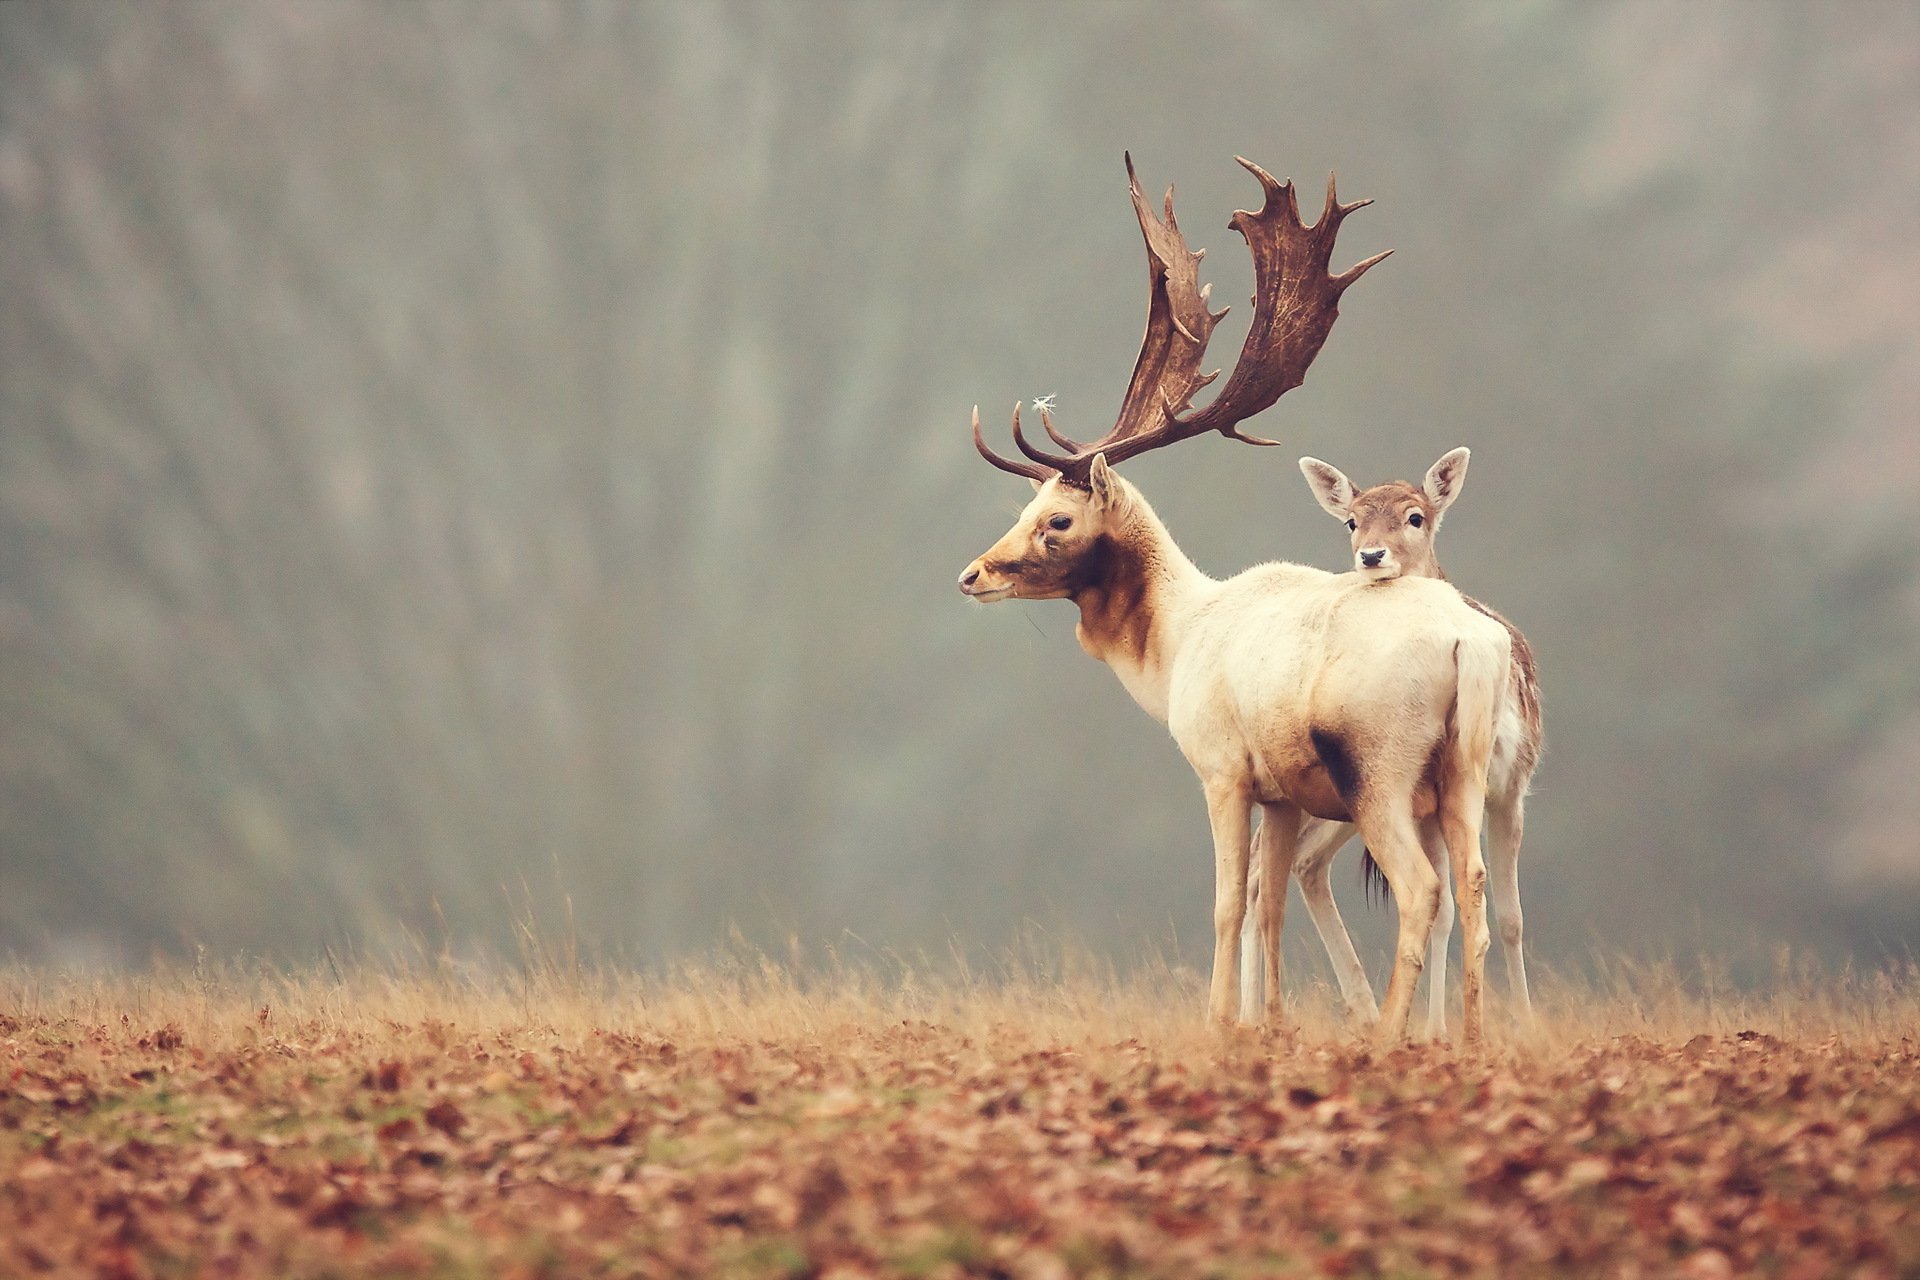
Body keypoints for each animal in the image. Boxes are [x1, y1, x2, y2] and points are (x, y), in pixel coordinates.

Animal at [955, 154, 1514, 1043]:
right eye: (1025, 505)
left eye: (1057, 519)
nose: (973, 573)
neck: (1176, 644)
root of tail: (1473, 644)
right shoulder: (1281, 791)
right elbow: (1269, 906)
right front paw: (1270, 1023)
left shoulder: (1220, 767)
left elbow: (1226, 903)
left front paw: (1220, 1021)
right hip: (1463, 771)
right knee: (1476, 891)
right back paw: (1468, 1038)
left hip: (1380, 767)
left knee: (1422, 890)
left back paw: (1388, 1035)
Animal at [1238, 449, 1545, 1035]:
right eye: (1351, 520)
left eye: (1415, 516)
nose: (1371, 555)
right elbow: (1452, 908)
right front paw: (1437, 1030)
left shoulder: (1513, 785)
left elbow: (1511, 916)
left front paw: (1518, 1022)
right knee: (1268, 870)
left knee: (1293, 866)